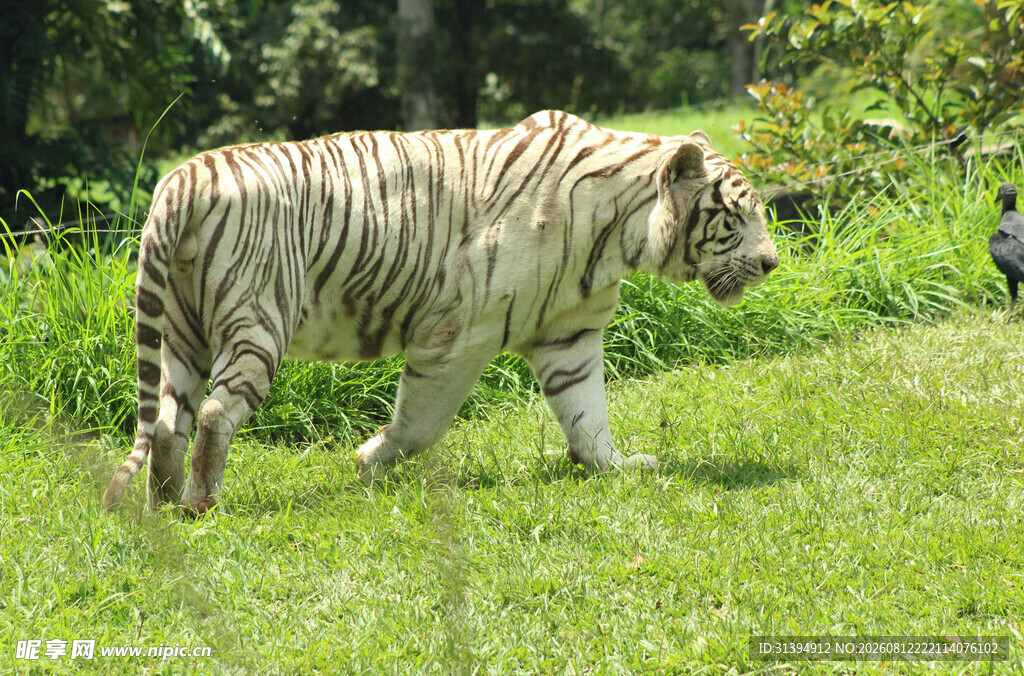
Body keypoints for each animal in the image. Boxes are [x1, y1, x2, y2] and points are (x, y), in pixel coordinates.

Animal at [102, 109, 778, 514]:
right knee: (216, 413)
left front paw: (615, 468)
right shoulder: (459, 335)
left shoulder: (570, 335)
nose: (773, 263)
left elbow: (588, 416)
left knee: (168, 419)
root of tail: (184, 177)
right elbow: (421, 423)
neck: (619, 234)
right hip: (258, 319)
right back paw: (200, 505)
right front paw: (369, 461)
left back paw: (164, 506)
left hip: (183, 331)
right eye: (736, 216)